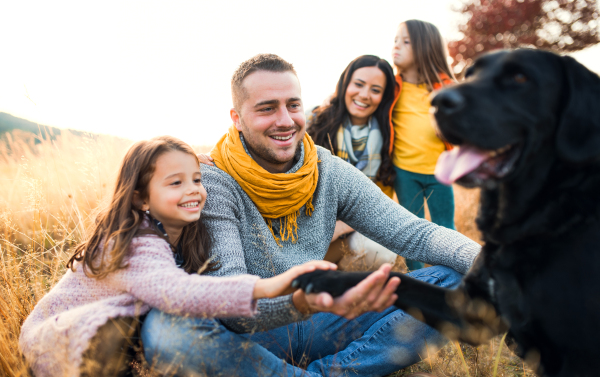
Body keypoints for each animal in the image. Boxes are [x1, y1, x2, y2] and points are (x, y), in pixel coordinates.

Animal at [294, 50, 600, 376]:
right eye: (470, 74)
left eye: (520, 77)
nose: (439, 102)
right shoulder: (470, 314)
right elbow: (399, 279)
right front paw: (325, 279)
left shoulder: (577, 354)